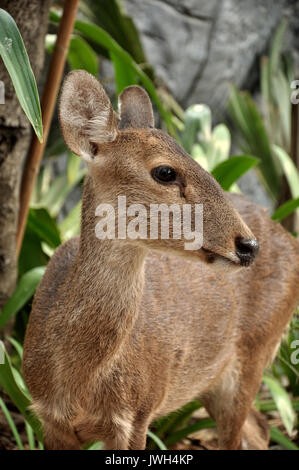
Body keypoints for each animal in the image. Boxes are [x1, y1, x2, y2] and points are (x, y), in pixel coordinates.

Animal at [22, 70, 299, 452]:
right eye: (165, 172)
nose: (247, 245)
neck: (78, 380)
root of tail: (290, 239)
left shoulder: (138, 413)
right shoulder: (49, 419)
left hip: (256, 351)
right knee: (258, 429)